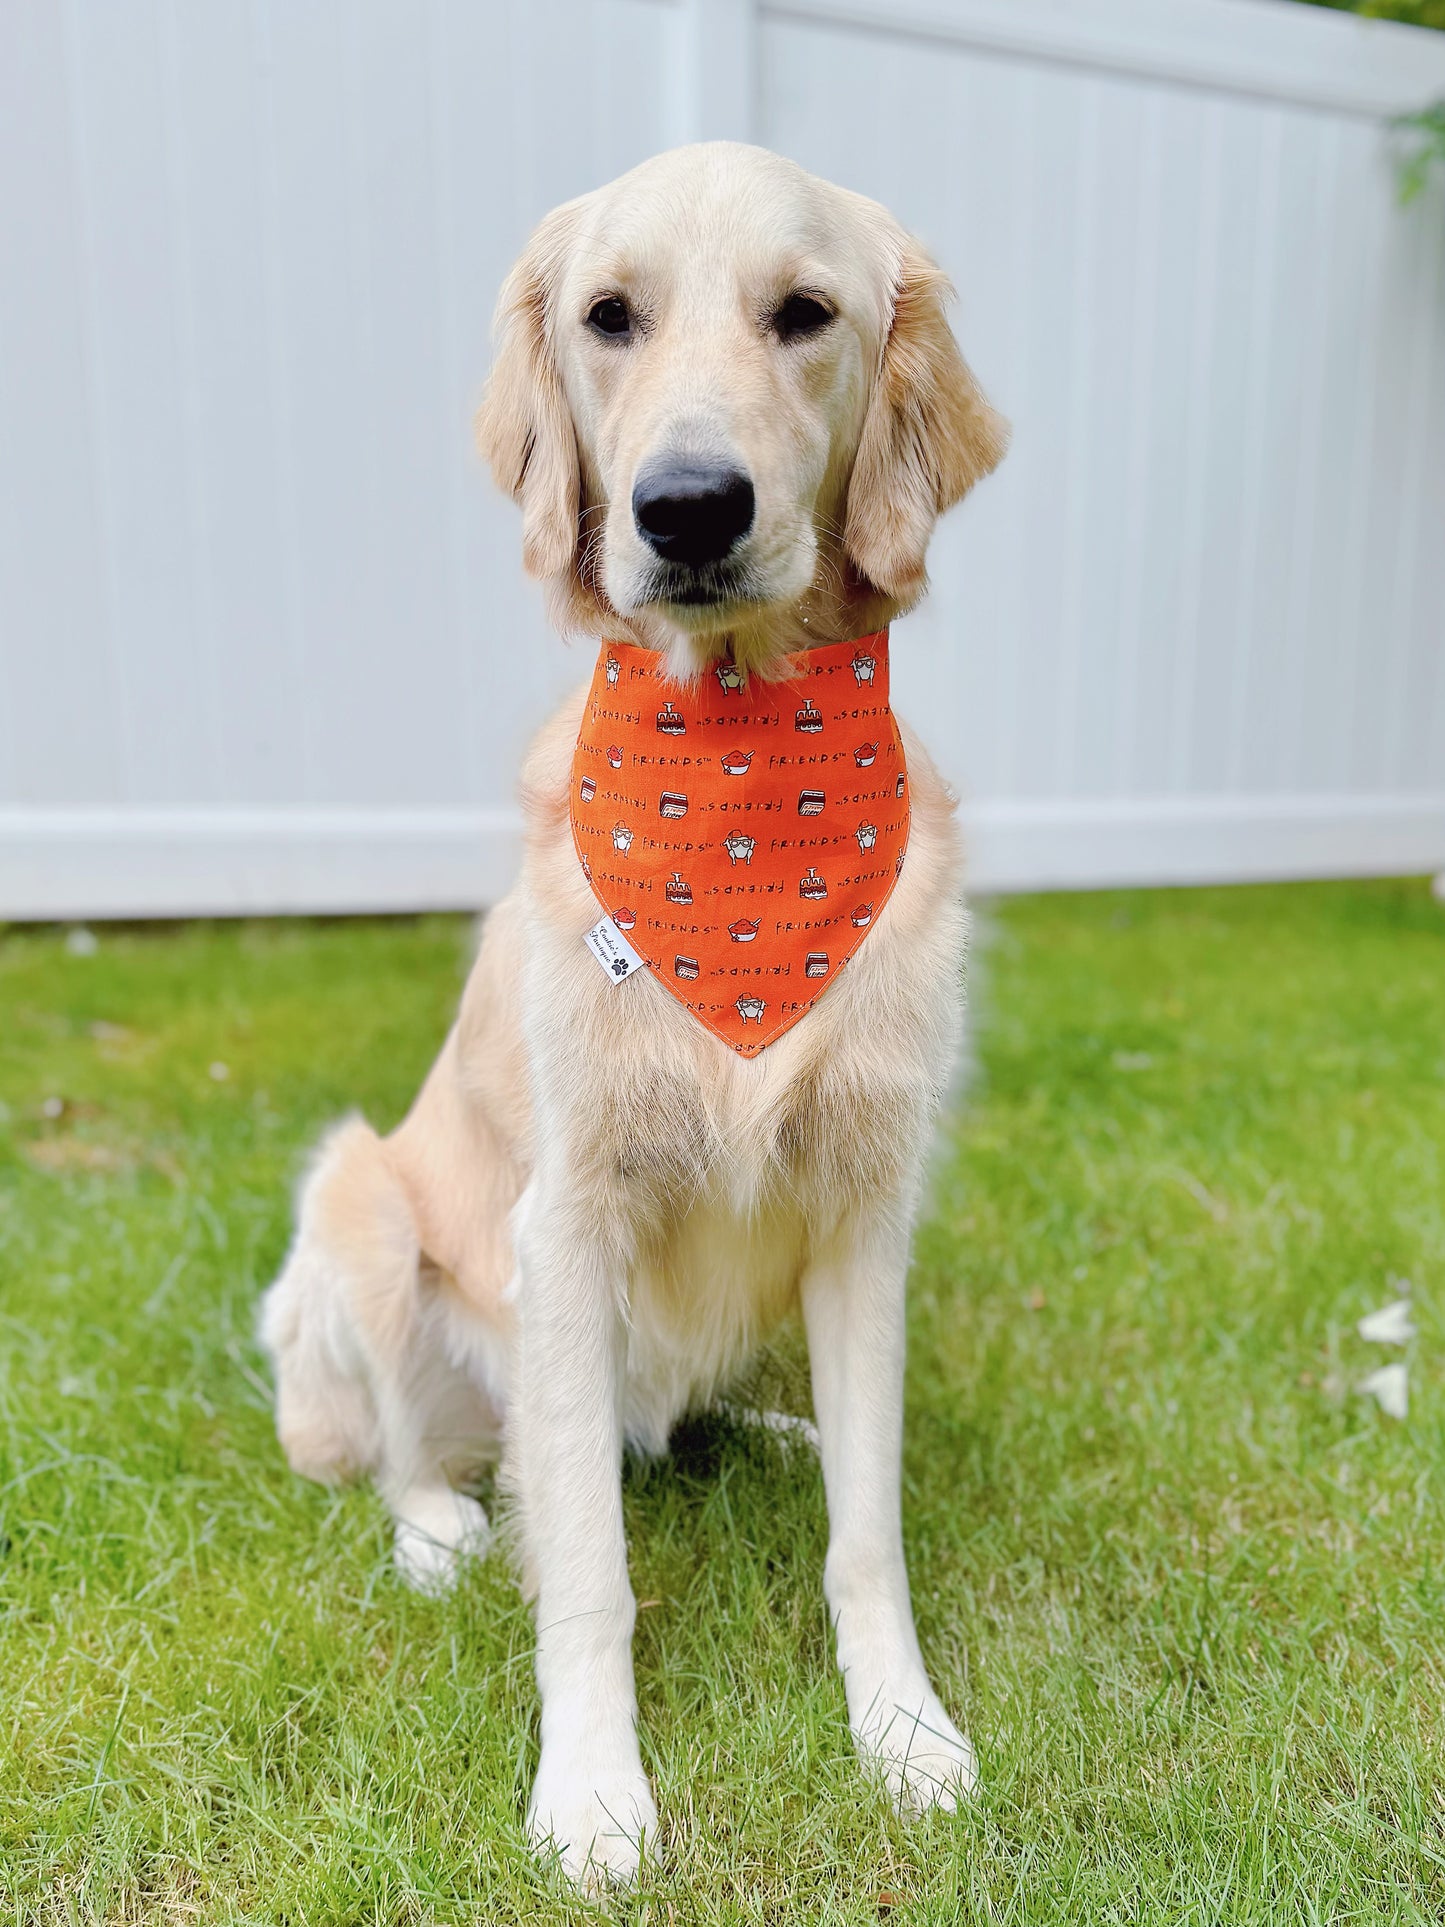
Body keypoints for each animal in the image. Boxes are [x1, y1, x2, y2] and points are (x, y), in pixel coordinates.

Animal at [260, 142, 1009, 1888]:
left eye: (805, 312)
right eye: (610, 316)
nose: (687, 506)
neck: (737, 781)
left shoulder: (866, 1208)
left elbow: (868, 1538)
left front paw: (904, 1733)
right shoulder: (566, 1218)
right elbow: (592, 1573)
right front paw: (595, 1792)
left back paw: (770, 1428)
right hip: (362, 1208)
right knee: (421, 1452)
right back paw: (442, 1525)